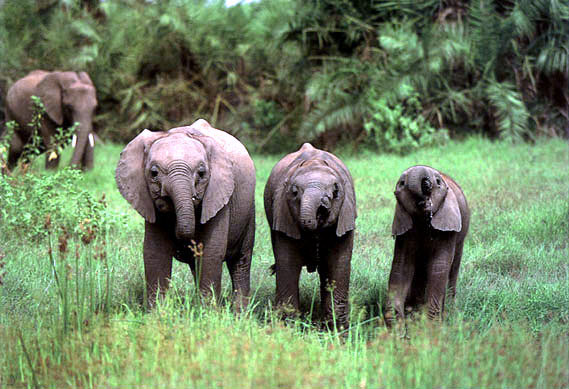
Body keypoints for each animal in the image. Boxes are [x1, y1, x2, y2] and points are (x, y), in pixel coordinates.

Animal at [115, 118, 255, 310]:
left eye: (202, 174)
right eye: (154, 173)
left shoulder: (219, 194)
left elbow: (211, 252)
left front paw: (207, 313)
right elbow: (155, 252)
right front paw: (157, 312)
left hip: (249, 210)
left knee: (241, 260)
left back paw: (240, 312)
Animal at [262, 142, 356, 328]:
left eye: (335, 192)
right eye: (294, 192)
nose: (323, 205)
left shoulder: (345, 215)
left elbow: (338, 263)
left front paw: (338, 330)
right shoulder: (284, 214)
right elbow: (288, 262)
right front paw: (287, 328)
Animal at [382, 165, 470, 326]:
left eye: (438, 182)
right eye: (402, 183)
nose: (426, 184)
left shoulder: (448, 222)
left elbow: (438, 265)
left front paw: (430, 324)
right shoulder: (404, 225)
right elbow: (402, 266)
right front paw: (397, 323)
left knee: (453, 267)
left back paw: (449, 308)